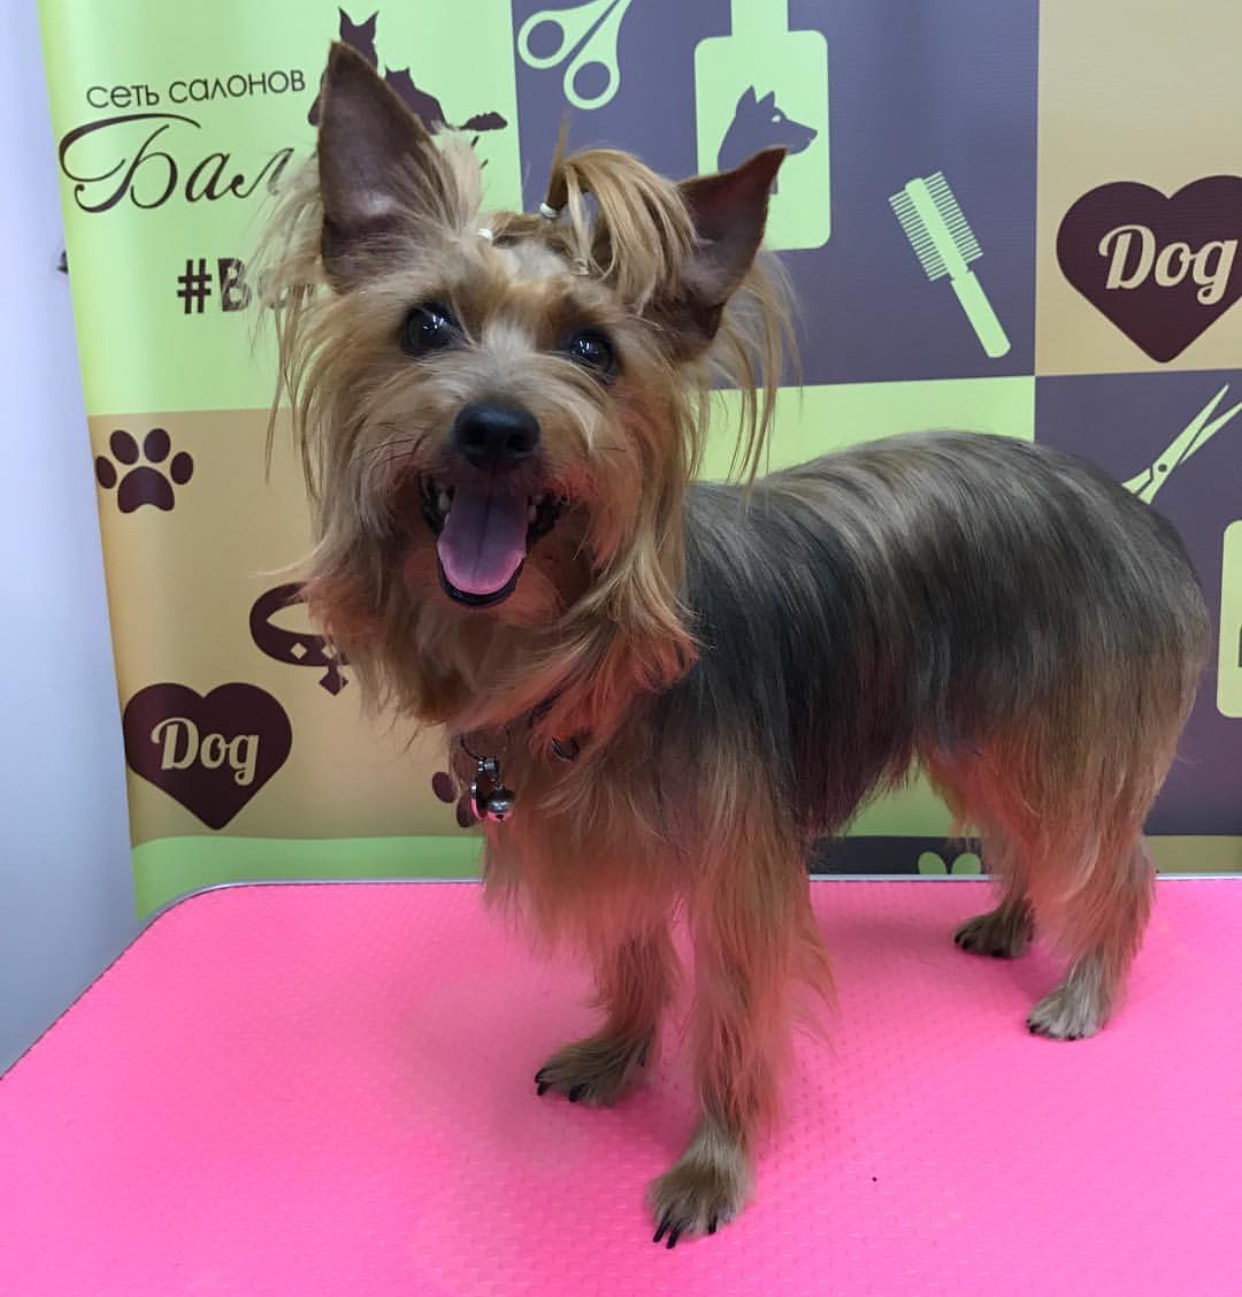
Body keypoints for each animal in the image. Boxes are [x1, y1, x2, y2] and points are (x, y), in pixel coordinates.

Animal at [264, 43, 1213, 1245]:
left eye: (594, 349)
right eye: (426, 326)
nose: (496, 427)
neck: (573, 649)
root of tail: (1133, 505)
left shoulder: (736, 868)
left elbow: (730, 1009)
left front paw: (711, 1164)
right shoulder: (611, 845)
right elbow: (632, 962)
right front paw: (618, 1055)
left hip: (1058, 731)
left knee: (1110, 859)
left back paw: (1083, 989)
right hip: (975, 734)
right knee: (1028, 841)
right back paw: (1008, 922)